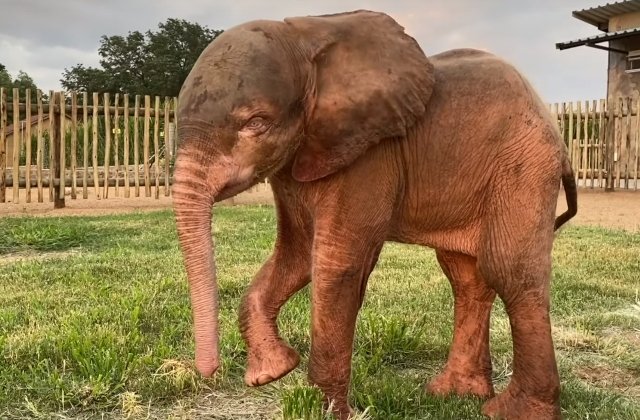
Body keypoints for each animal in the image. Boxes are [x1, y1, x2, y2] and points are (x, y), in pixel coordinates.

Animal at [172, 10, 577, 420]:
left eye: (256, 122)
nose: (208, 372)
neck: (307, 39)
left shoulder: (368, 154)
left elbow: (336, 263)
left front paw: (323, 410)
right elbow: (297, 253)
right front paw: (273, 372)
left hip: (524, 166)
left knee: (508, 270)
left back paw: (509, 410)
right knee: (466, 277)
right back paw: (454, 395)